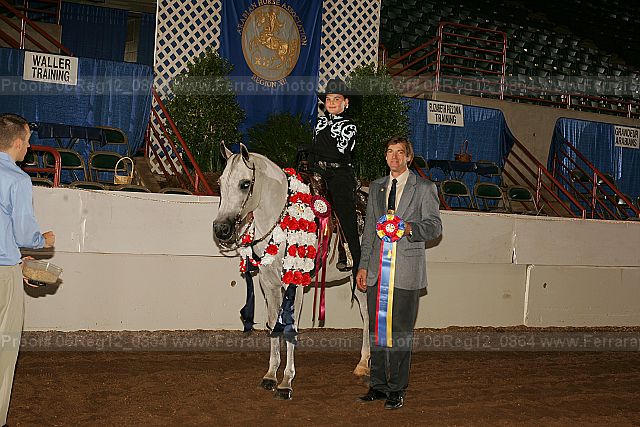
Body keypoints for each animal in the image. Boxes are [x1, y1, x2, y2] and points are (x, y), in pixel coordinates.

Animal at [213, 144, 370, 400]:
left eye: (245, 184)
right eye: (220, 182)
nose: (221, 229)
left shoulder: (293, 284)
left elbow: (290, 327)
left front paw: (286, 383)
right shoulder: (269, 284)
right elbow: (272, 324)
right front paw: (270, 376)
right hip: (356, 282)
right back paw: (364, 364)